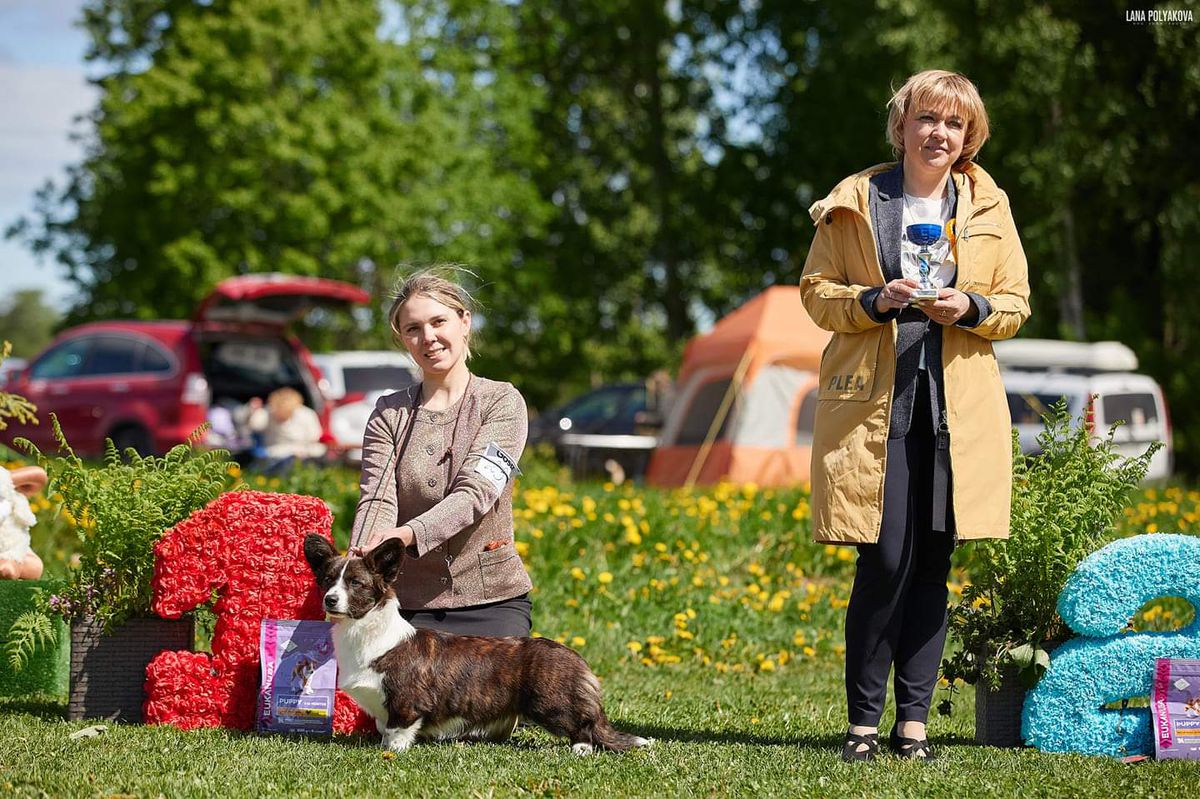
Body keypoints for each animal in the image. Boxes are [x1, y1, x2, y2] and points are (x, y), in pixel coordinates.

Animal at [304, 535, 652, 753]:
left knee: (584, 727)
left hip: (551, 705)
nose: (329, 600)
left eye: (356, 583)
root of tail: (577, 658)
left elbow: (396, 731)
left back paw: (580, 748)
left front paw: (392, 752)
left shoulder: (406, 702)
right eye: (327, 581)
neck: (365, 633)